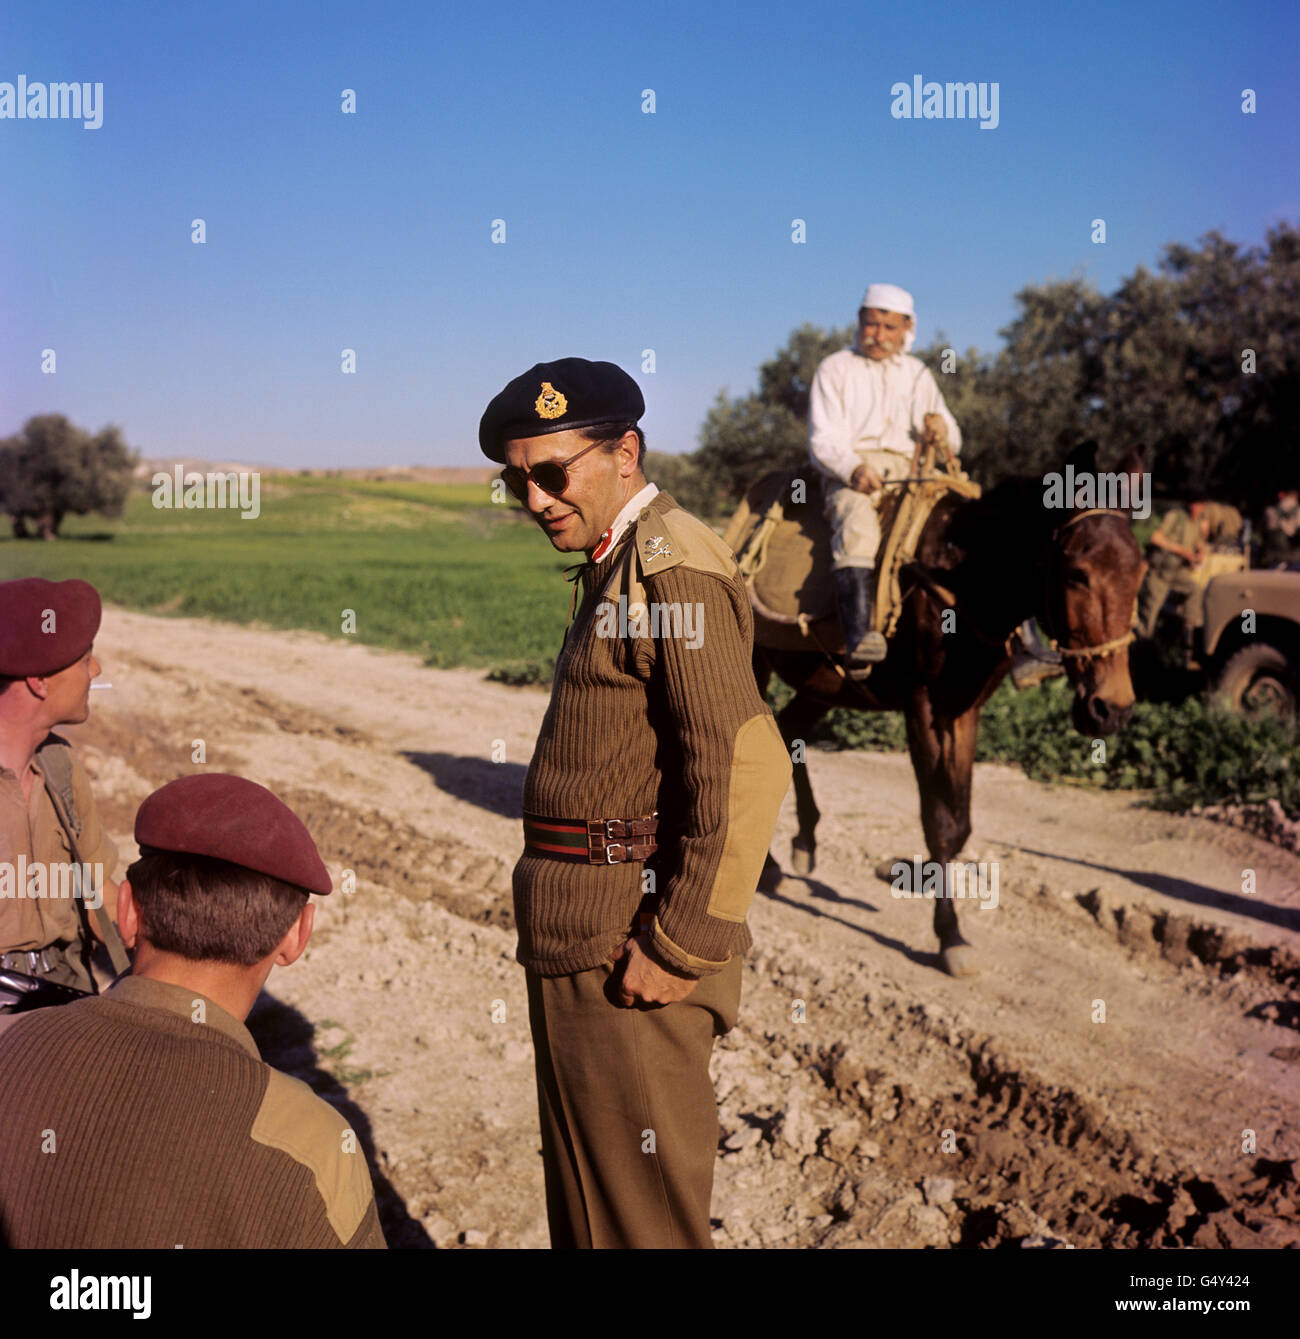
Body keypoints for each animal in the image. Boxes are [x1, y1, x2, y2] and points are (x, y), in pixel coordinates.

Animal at [749, 439, 1146, 974]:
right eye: (1077, 574)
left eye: (1140, 571)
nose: (1113, 708)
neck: (963, 583)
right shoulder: (922, 708)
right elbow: (938, 820)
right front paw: (949, 935)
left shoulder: (964, 712)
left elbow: (960, 824)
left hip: (820, 684)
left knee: (789, 735)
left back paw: (798, 848)